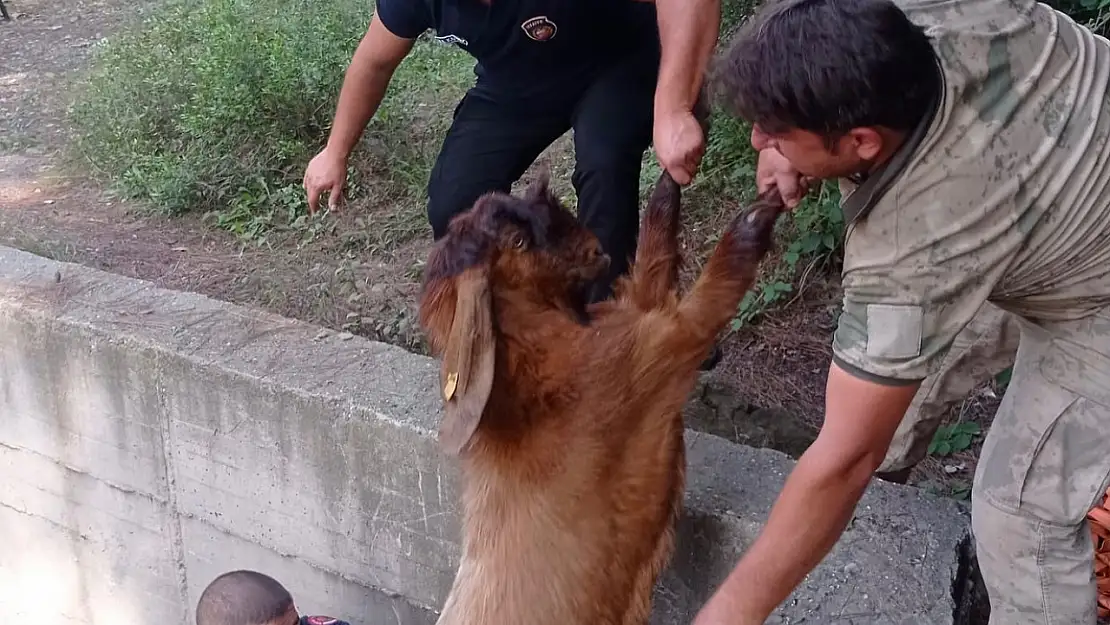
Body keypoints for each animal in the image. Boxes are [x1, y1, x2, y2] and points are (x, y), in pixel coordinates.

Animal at [417, 170, 790, 625]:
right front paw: (759, 213)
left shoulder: (630, 318)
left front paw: (668, 180)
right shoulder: (652, 350)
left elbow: (651, 265)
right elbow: (707, 299)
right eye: (518, 241)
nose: (596, 249)